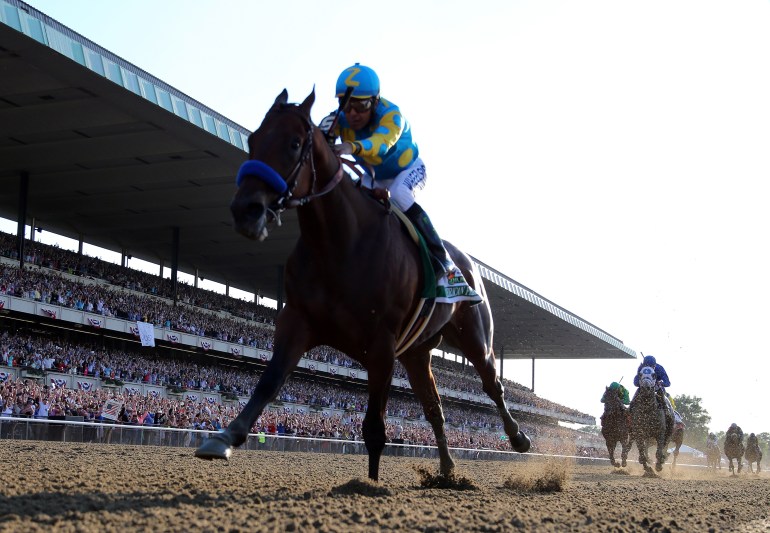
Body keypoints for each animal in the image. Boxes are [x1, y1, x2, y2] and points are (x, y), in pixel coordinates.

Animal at [192, 89, 528, 480]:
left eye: (294, 143)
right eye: (253, 140)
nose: (246, 210)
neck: (340, 242)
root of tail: (468, 263)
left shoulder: (381, 345)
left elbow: (374, 428)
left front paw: (371, 484)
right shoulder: (299, 319)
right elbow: (270, 380)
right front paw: (224, 437)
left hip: (474, 336)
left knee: (492, 383)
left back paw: (518, 438)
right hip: (417, 353)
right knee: (434, 409)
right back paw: (446, 469)